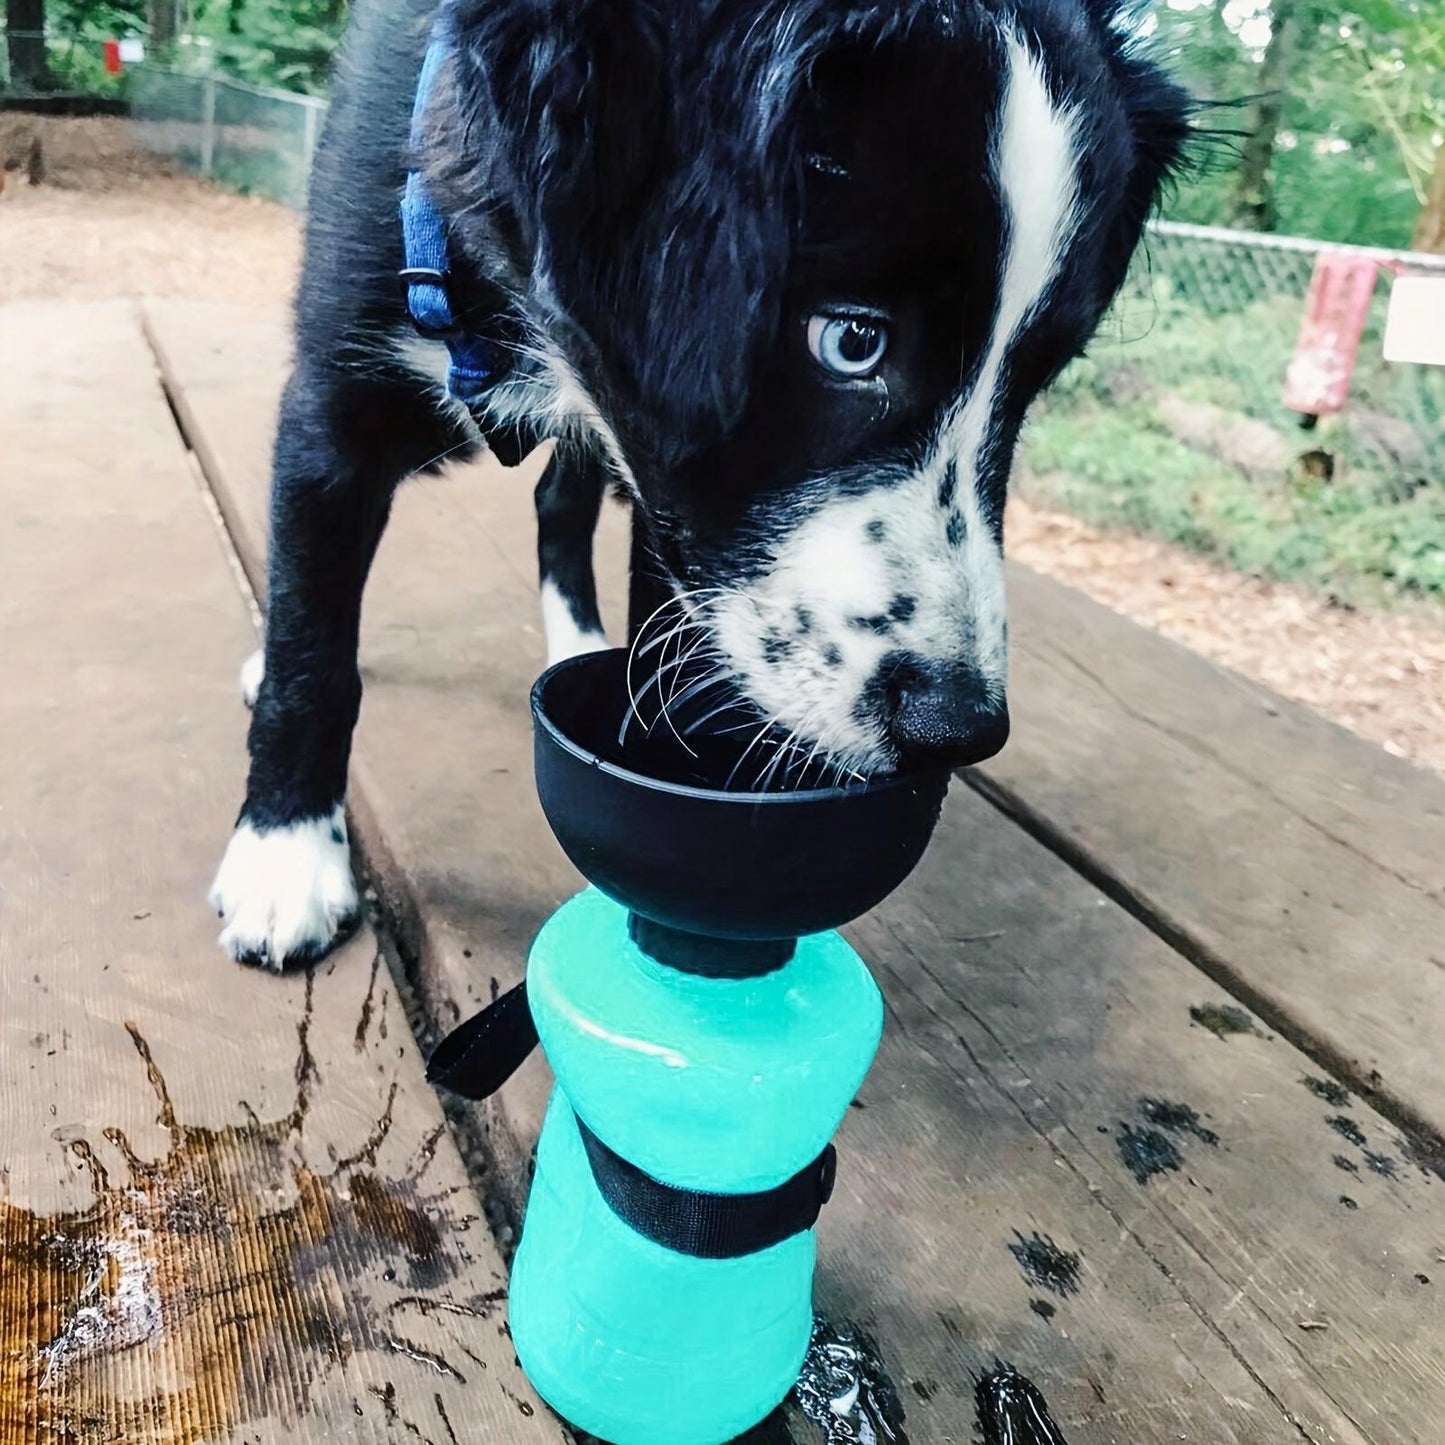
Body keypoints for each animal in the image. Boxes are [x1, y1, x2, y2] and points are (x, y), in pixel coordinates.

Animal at [209, 2, 1190, 971]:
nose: (957, 729)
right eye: (852, 340)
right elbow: (312, 653)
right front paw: (284, 856)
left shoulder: (667, 487)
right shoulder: (331, 413)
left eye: (1037, 377)